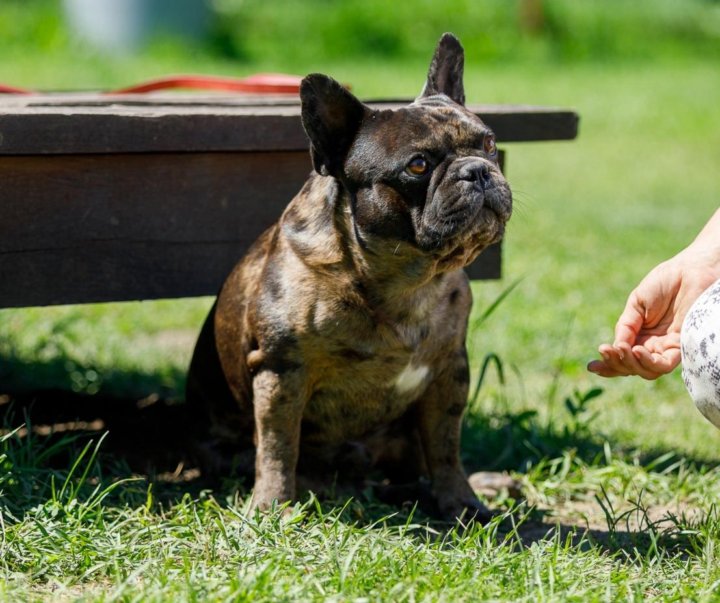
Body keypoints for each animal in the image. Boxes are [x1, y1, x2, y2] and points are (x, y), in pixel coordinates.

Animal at [186, 34, 512, 524]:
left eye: (490, 143)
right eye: (418, 166)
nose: (476, 170)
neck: (406, 278)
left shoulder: (448, 373)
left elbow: (445, 448)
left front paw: (461, 502)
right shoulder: (282, 371)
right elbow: (279, 447)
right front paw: (272, 506)